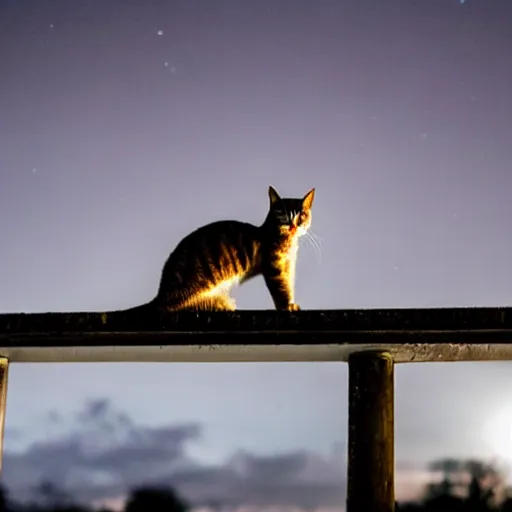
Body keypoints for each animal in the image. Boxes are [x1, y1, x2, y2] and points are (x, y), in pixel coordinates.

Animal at [136, 185, 314, 312]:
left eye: (302, 215)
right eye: (282, 214)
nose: (293, 226)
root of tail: (161, 291)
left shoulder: (288, 266)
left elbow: (288, 285)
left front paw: (291, 303)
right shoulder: (274, 268)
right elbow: (281, 289)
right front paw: (285, 306)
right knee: (172, 307)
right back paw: (219, 303)